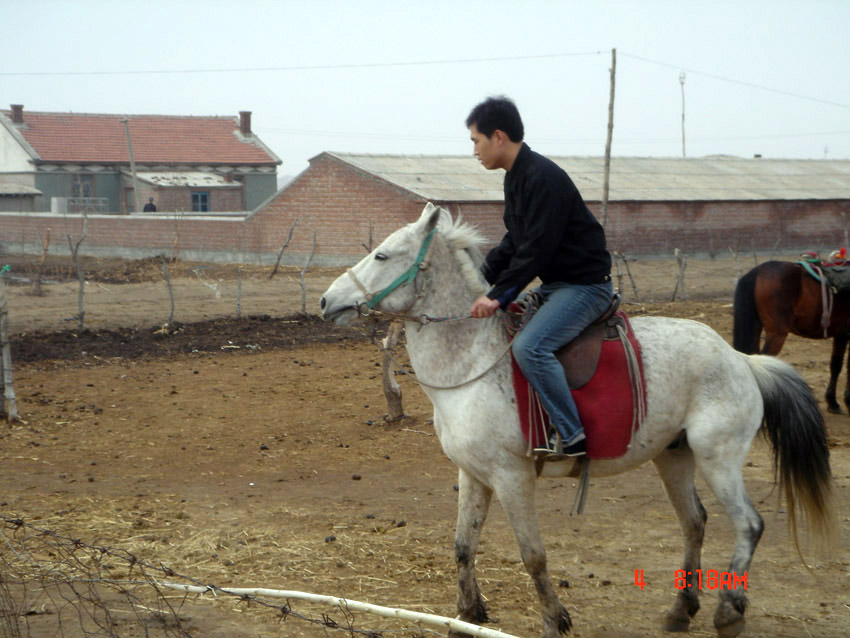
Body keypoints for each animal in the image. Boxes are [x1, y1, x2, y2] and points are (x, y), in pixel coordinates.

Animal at [728, 260, 848, 416]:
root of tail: (758, 271)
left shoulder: (841, 334)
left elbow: (835, 365)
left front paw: (832, 402)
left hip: (756, 326)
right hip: (777, 334)